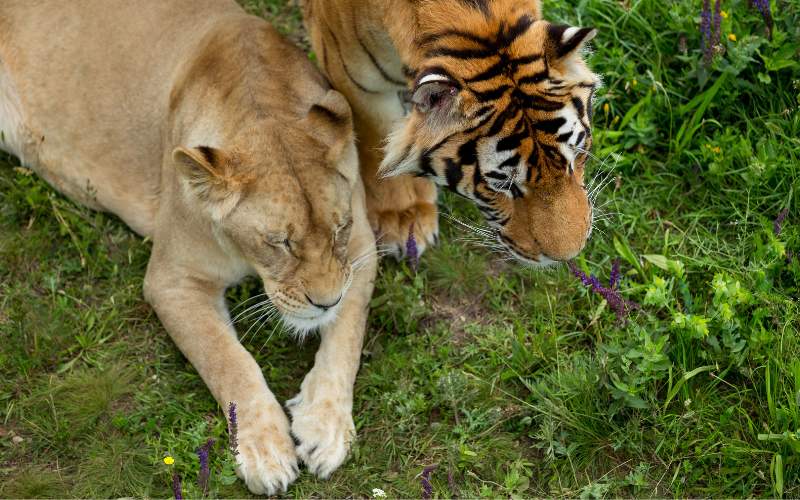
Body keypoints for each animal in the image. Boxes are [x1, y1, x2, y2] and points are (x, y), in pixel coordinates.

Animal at [300, 0, 600, 266]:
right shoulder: (355, 80)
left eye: (577, 156)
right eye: (503, 185)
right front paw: (402, 217)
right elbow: (377, 141)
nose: (569, 257)